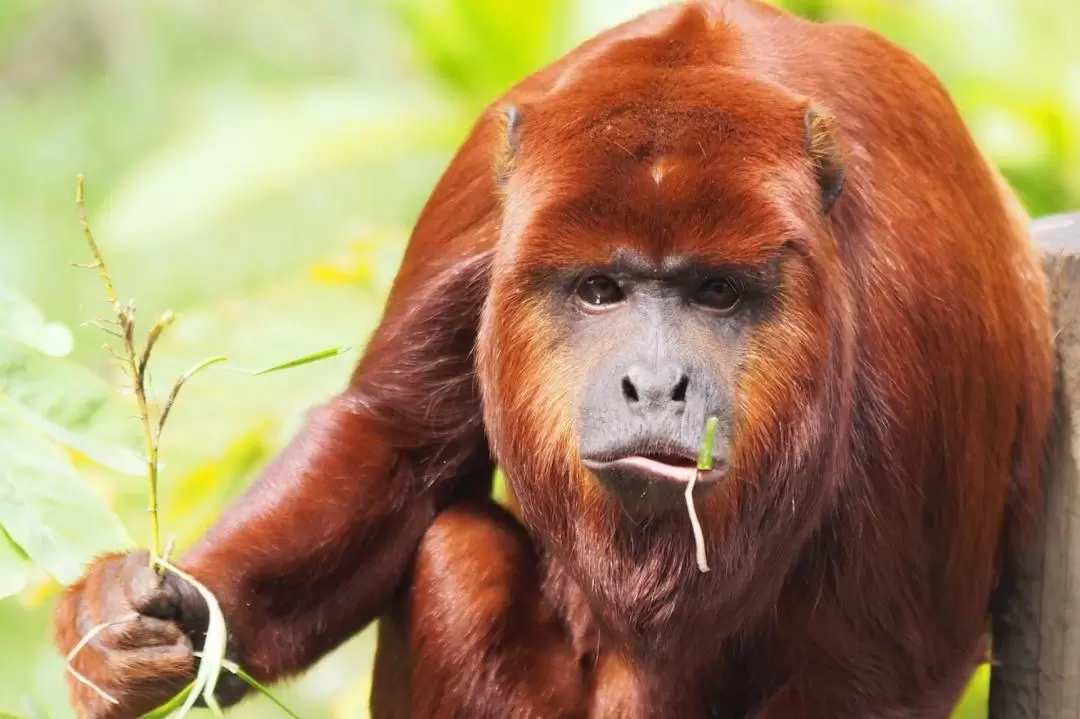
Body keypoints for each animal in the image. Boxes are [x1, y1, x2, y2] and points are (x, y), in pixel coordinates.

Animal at [52, 2, 1054, 712]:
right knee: (454, 548)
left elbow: (878, 668)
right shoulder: (483, 195)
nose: (655, 382)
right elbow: (392, 440)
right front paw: (152, 619)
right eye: (600, 289)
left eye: (717, 293)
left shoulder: (921, 314)